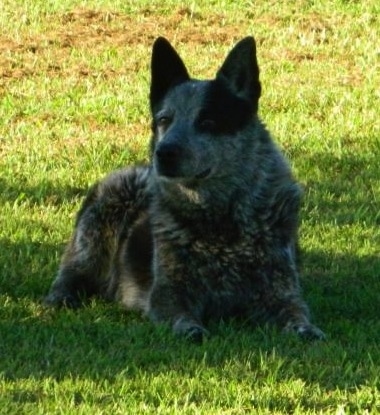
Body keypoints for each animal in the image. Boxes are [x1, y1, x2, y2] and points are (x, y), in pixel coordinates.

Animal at [43, 35, 324, 342]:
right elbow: (183, 319)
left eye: (207, 122)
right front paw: (193, 331)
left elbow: (296, 313)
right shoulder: (169, 295)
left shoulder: (280, 290)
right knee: (71, 272)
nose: (164, 153)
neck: (220, 223)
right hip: (107, 209)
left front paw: (307, 331)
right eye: (164, 119)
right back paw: (60, 298)